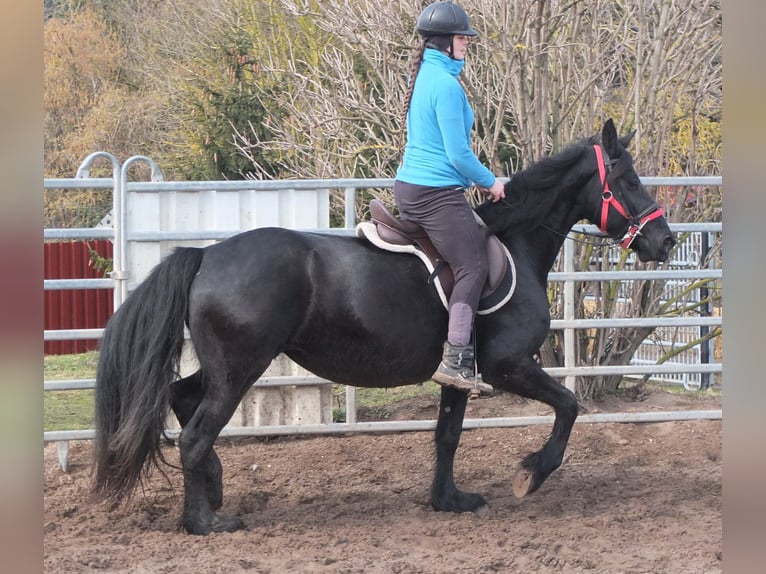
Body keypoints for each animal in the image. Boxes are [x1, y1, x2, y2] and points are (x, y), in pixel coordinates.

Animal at [91, 120, 680, 536]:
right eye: (628, 180)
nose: (666, 241)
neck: (514, 245)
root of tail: (206, 256)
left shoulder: (460, 376)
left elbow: (448, 436)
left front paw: (449, 501)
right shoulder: (509, 366)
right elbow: (569, 405)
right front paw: (532, 473)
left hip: (225, 367)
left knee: (181, 397)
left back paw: (212, 489)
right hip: (240, 369)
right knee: (194, 433)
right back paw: (205, 522)